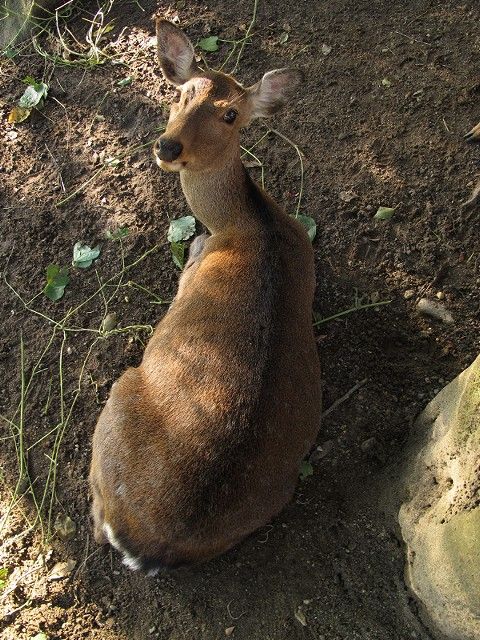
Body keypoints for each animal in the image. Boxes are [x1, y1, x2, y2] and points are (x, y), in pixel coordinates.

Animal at [89, 18, 322, 574]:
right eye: (183, 93)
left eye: (231, 114)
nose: (168, 147)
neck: (246, 222)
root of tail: (148, 545)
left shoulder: (190, 271)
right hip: (278, 493)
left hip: (120, 394)